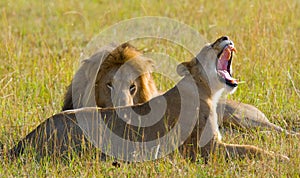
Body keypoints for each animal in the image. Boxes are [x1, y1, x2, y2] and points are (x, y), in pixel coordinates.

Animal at [1, 36, 288, 161]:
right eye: (210, 45)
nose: (225, 37)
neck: (206, 89)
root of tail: (24, 140)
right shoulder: (202, 150)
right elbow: (251, 149)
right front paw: (282, 159)